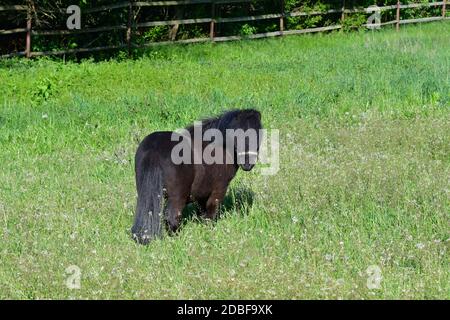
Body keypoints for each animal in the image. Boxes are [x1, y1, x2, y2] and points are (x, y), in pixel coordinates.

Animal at [132, 109, 262, 244]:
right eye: (236, 136)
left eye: (258, 133)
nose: (247, 163)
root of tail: (155, 149)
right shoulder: (219, 189)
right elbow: (211, 211)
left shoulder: (202, 192)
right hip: (177, 197)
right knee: (172, 217)